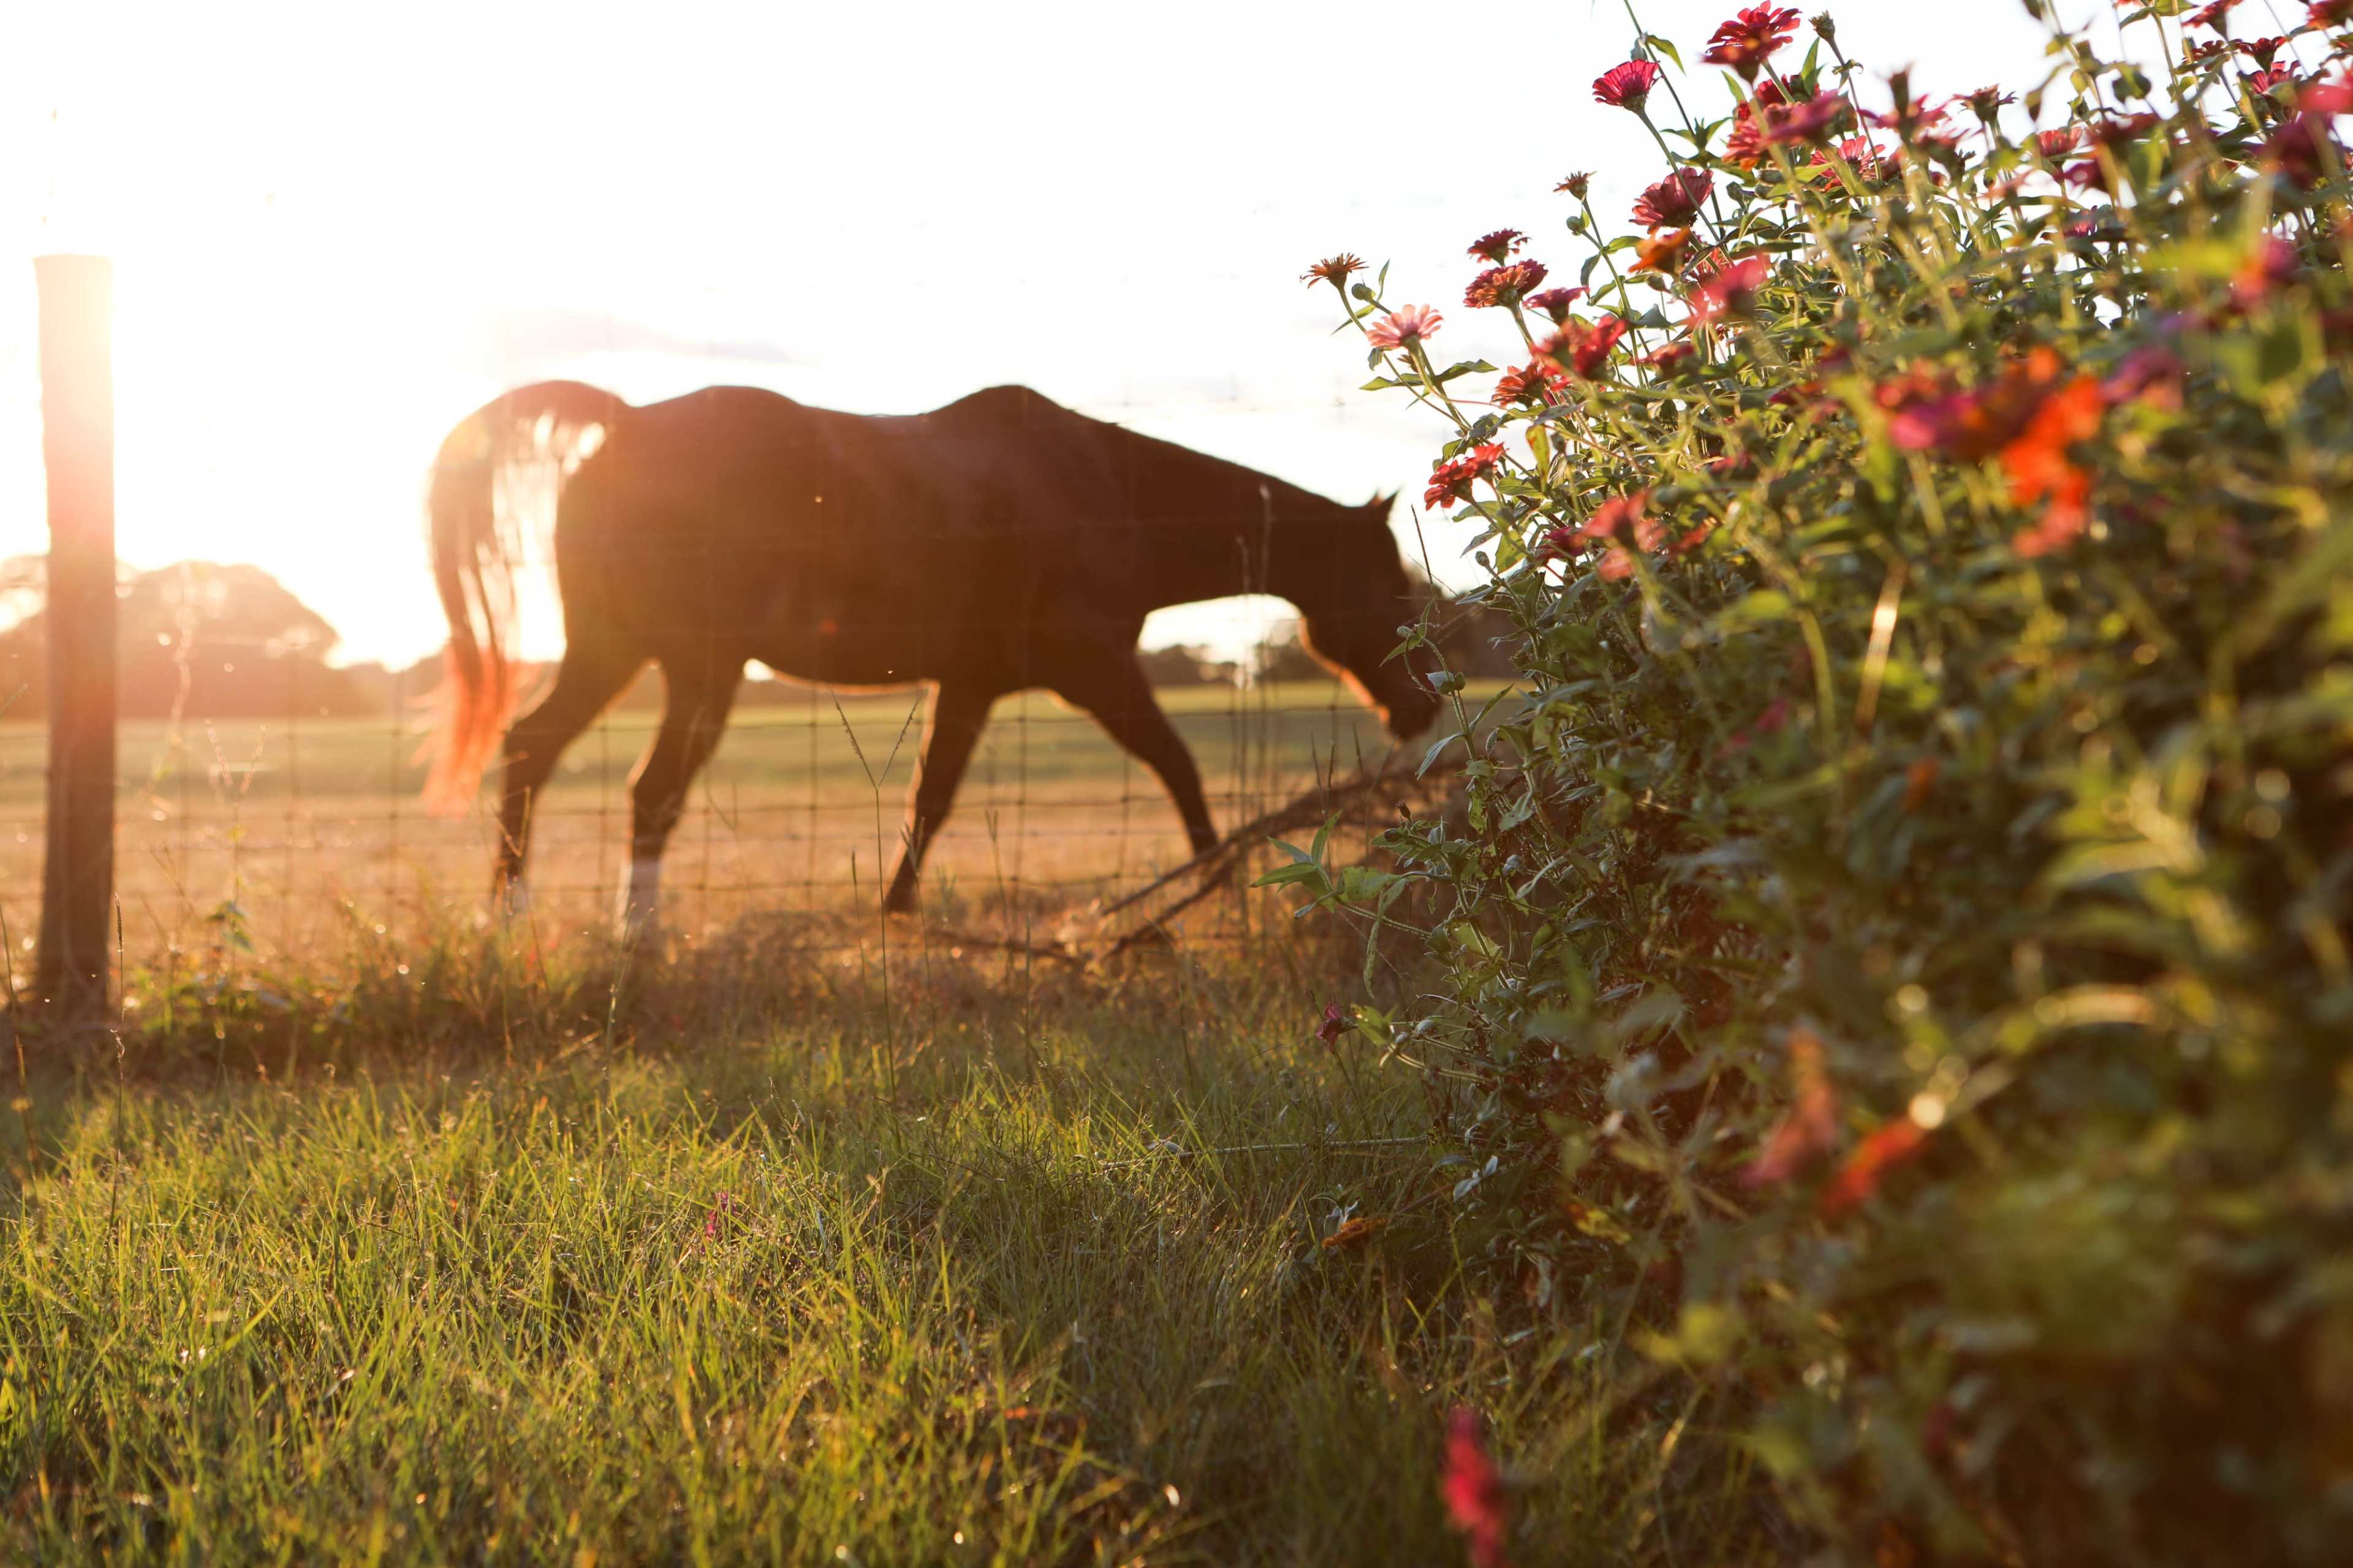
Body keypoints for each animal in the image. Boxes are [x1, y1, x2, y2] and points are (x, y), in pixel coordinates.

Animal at [422, 379, 1441, 931]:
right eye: (1389, 584)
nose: (1428, 704)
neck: (1106, 492)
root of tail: (627, 421)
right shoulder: (1095, 673)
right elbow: (1180, 768)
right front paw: (1217, 887)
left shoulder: (974, 684)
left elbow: (932, 799)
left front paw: (896, 913)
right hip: (691, 672)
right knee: (646, 791)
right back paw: (630, 935)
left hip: (626, 656)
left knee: (535, 748)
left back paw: (506, 920)